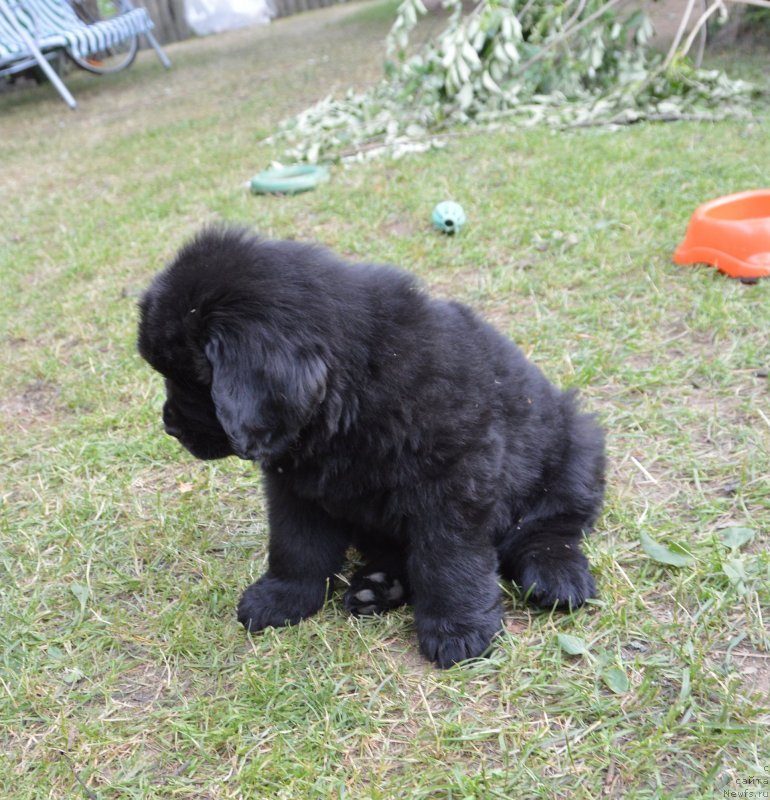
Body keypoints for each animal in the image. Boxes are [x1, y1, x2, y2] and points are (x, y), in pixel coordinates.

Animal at [140, 227, 608, 668]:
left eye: (194, 379)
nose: (169, 426)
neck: (356, 391)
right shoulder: (294, 486)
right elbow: (295, 544)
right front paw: (283, 597)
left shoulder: (455, 479)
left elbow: (448, 557)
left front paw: (458, 629)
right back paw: (380, 587)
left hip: (576, 447)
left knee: (549, 526)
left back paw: (555, 574)